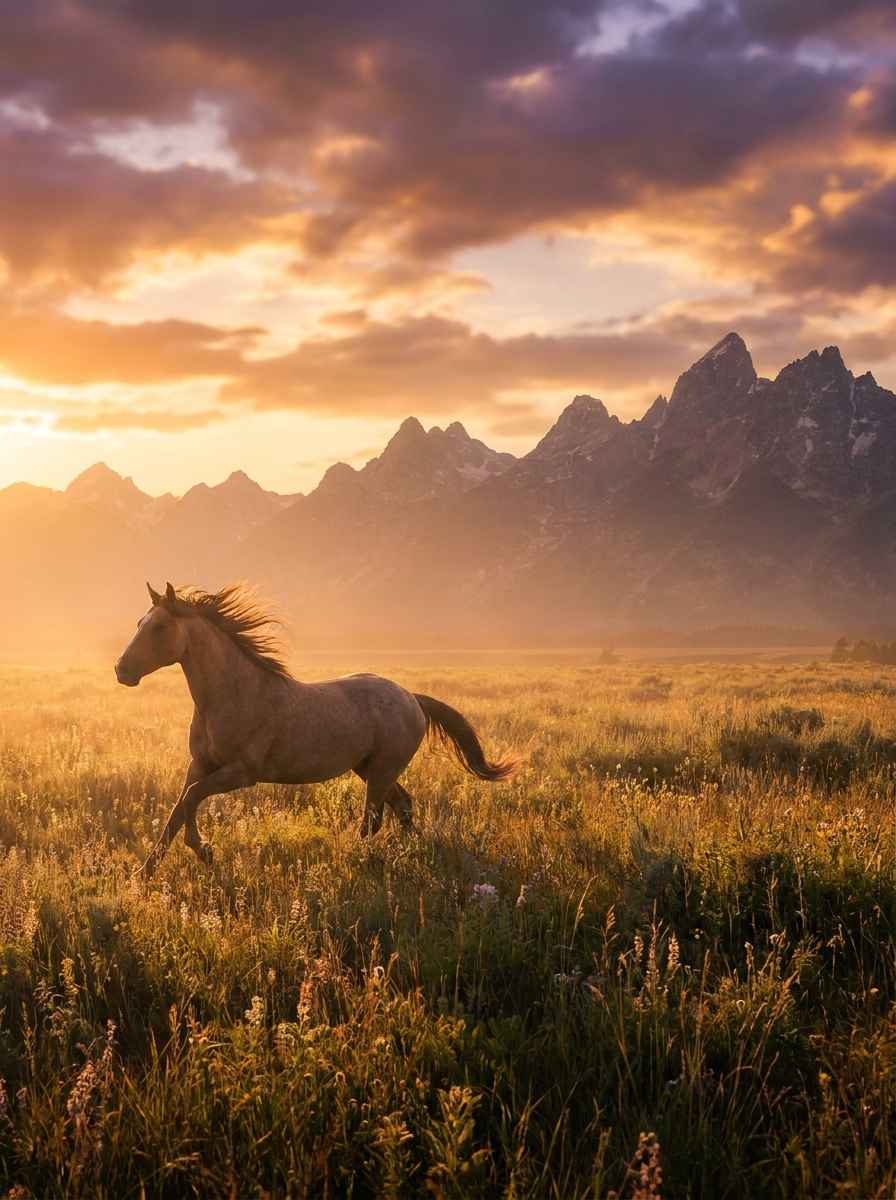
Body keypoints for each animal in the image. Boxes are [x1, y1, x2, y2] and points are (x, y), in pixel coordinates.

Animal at [115, 582, 519, 878]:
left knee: (374, 818)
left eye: (160, 627)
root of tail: (412, 698)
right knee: (402, 806)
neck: (230, 693)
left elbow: (191, 799)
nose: (122, 670)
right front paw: (144, 875)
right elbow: (176, 812)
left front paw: (205, 850)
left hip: (382, 769)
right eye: (138, 624)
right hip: (369, 768)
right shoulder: (200, 765)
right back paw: (410, 853)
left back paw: (357, 860)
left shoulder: (242, 772)